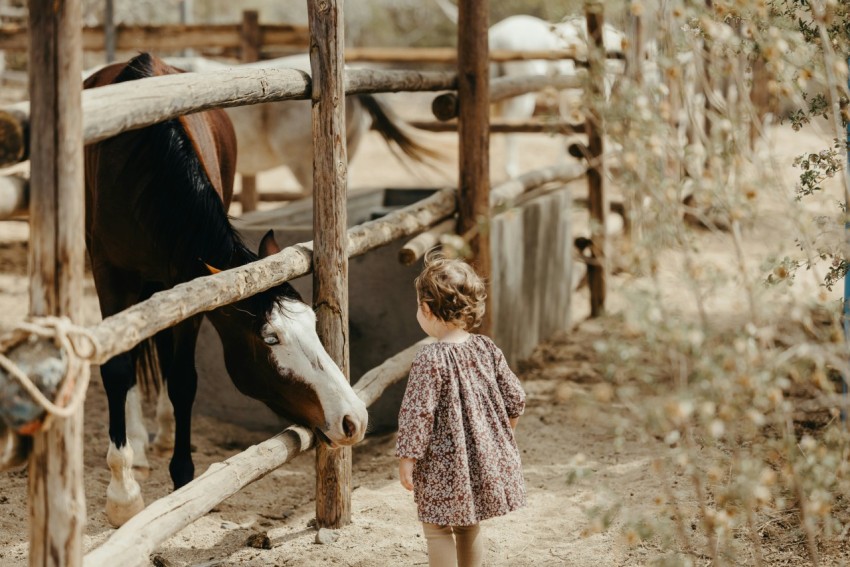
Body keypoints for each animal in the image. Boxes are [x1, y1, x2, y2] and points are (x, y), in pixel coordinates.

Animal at [83, 52, 368, 527]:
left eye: (314, 324)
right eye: (270, 338)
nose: (354, 419)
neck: (143, 172)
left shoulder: (189, 285)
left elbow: (182, 378)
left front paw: (182, 478)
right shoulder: (108, 273)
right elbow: (118, 369)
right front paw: (122, 495)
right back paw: (137, 446)